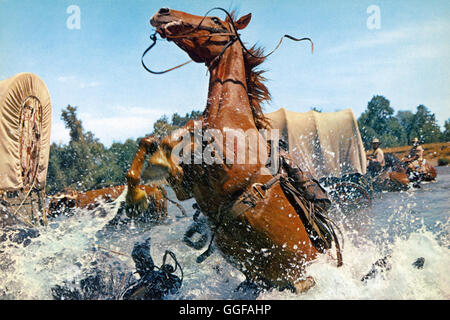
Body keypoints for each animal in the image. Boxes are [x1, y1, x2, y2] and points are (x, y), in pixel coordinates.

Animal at [125, 7, 338, 292]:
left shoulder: (228, 167)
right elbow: (154, 142)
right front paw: (136, 196)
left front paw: (157, 164)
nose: (163, 12)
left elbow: (186, 133)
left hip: (301, 277)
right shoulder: (186, 186)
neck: (231, 117)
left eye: (215, 20)